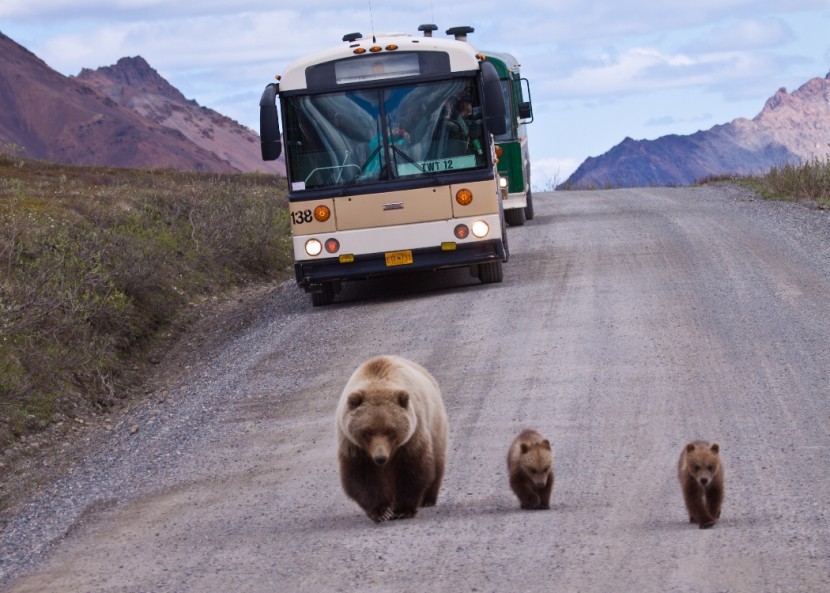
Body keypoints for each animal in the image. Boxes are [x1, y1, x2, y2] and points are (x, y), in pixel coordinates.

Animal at [334, 354, 448, 520]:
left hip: (435, 424)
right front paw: (382, 511)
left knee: (437, 460)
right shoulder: (353, 443)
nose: (380, 458)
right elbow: (361, 474)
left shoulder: (412, 436)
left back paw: (428, 499)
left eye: (390, 431)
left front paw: (402, 509)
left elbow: (412, 467)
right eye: (367, 432)